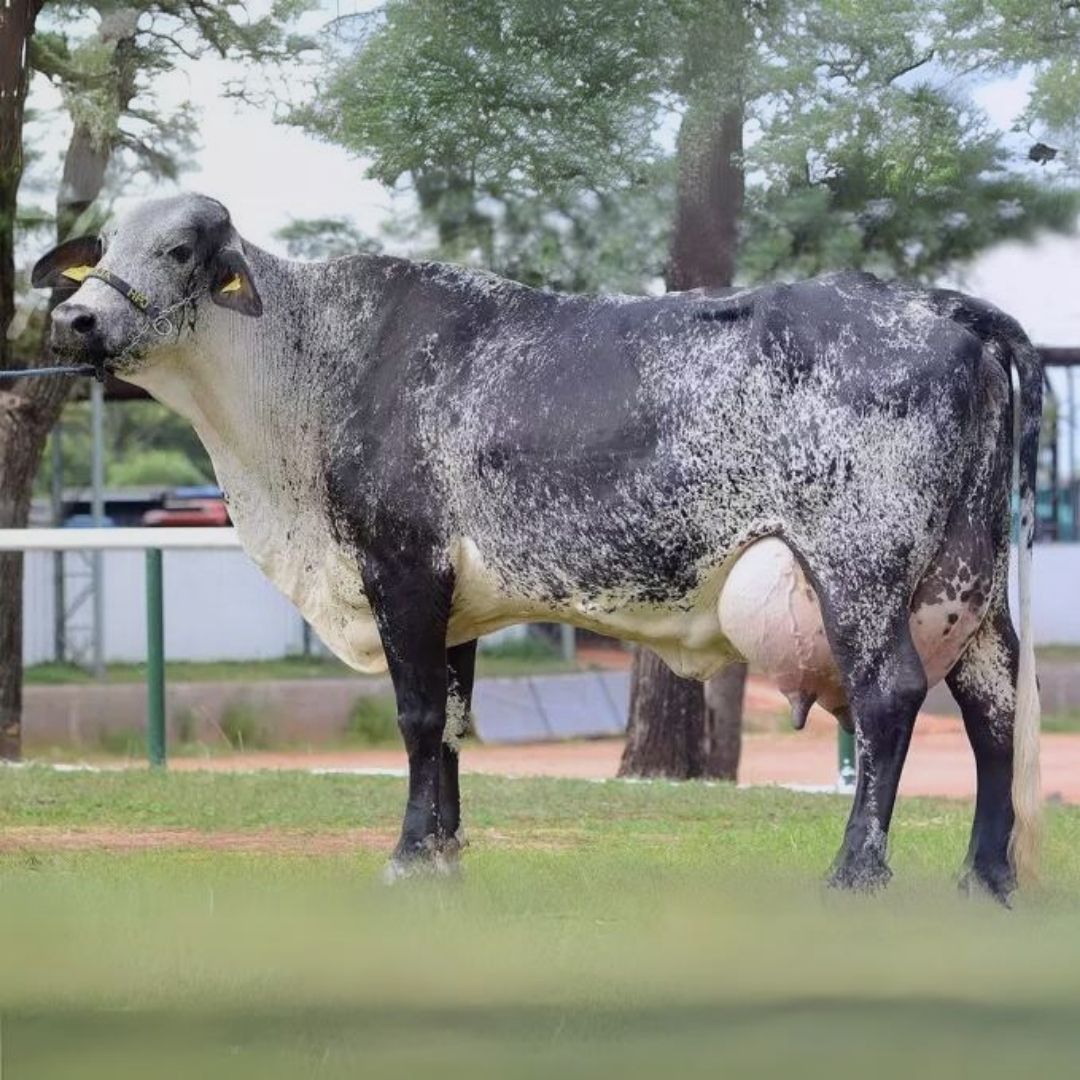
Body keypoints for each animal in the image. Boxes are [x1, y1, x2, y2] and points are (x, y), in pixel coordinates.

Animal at [32, 193, 1041, 902]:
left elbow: (417, 718)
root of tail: (941, 306)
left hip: (861, 568)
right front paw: (444, 855)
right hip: (968, 580)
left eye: (177, 250)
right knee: (993, 704)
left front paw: (407, 856)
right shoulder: (454, 607)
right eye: (103, 247)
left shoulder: (402, 570)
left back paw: (857, 874)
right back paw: (985, 878)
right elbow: (450, 723)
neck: (308, 366)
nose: (76, 320)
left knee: (890, 696)